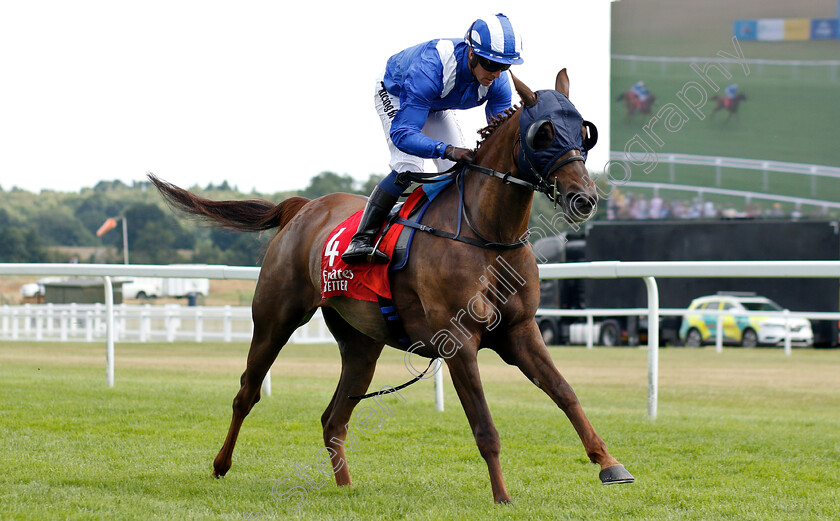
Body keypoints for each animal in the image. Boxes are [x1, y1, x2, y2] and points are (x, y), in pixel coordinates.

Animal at [149, 67, 632, 502]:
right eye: (544, 133)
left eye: (583, 130)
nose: (584, 197)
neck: (484, 234)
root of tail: (304, 207)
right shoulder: (459, 340)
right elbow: (484, 425)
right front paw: (502, 496)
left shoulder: (520, 330)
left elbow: (565, 392)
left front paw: (610, 464)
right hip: (274, 319)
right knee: (246, 393)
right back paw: (220, 464)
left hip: (361, 343)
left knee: (333, 417)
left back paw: (345, 488)